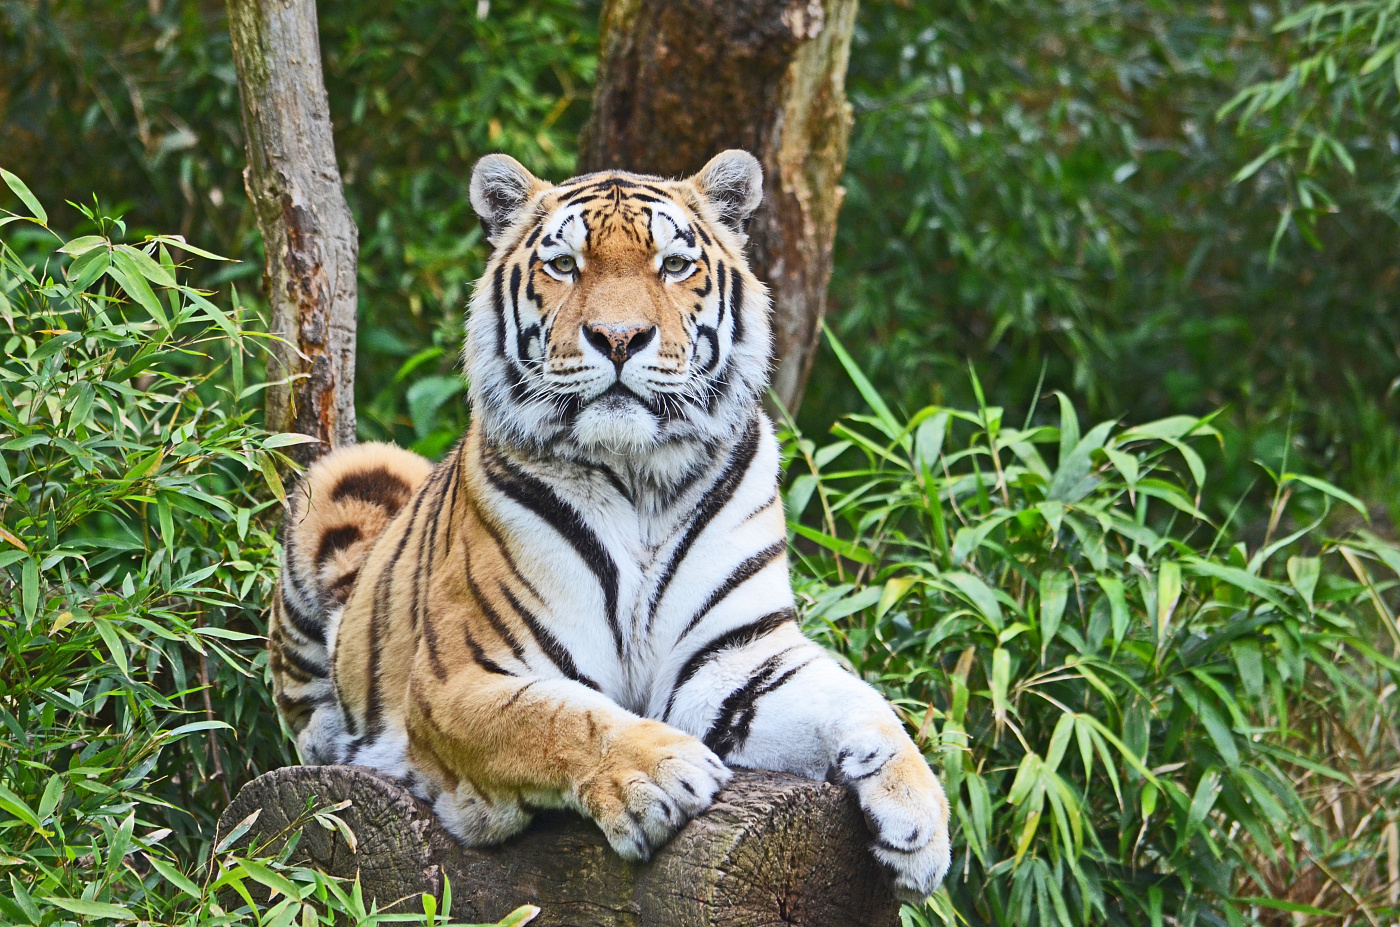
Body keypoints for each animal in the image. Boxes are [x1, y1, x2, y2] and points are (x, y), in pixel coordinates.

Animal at [270, 150, 952, 901]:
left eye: (674, 265)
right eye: (565, 265)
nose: (619, 338)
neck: (640, 478)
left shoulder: (737, 657)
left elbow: (863, 704)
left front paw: (920, 818)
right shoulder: (460, 679)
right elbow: (560, 717)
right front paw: (662, 772)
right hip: (354, 471)